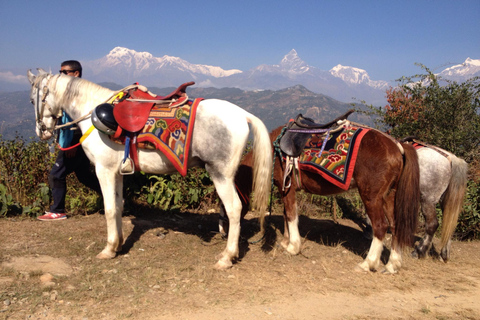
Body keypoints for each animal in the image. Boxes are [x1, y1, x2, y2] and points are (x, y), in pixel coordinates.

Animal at [28, 69, 272, 268]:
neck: (92, 113)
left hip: (220, 174)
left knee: (234, 209)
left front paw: (108, 249)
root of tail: (243, 114)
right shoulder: (116, 172)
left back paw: (227, 257)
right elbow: (118, 206)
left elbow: (109, 209)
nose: (42, 132)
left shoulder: (103, 170)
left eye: (32, 100)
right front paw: (119, 244)